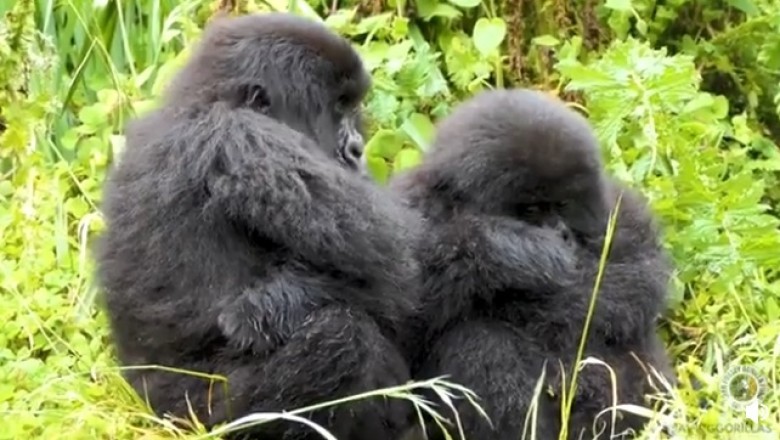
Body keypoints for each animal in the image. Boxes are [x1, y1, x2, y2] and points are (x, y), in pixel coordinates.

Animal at [96, 12, 422, 440]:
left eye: (351, 108)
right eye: (336, 109)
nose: (355, 150)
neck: (206, 102)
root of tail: (141, 400)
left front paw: (271, 305)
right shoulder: (242, 139)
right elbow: (395, 265)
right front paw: (272, 307)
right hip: (197, 416)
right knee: (340, 339)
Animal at [390, 88, 675, 440]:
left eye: (562, 204)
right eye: (530, 210)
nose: (560, 234)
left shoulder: (622, 210)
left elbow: (635, 282)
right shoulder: (409, 207)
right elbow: (401, 324)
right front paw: (513, 250)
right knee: (480, 338)